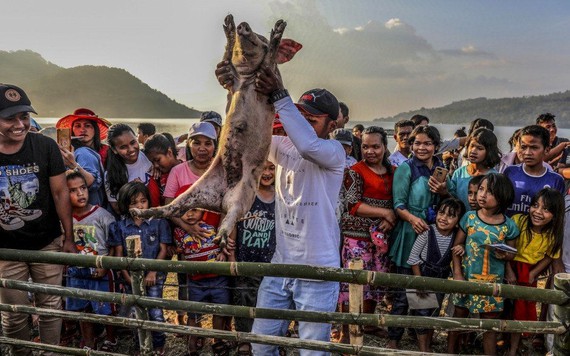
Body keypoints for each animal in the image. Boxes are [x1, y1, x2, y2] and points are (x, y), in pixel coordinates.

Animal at [130, 13, 292, 248]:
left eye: (260, 38)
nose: (244, 25)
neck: (246, 78)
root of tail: (221, 198)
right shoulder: (233, 82)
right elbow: (228, 58)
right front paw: (229, 24)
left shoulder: (267, 77)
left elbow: (270, 57)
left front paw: (278, 28)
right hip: (198, 190)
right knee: (171, 208)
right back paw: (140, 212)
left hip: (243, 195)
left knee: (230, 216)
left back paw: (220, 238)